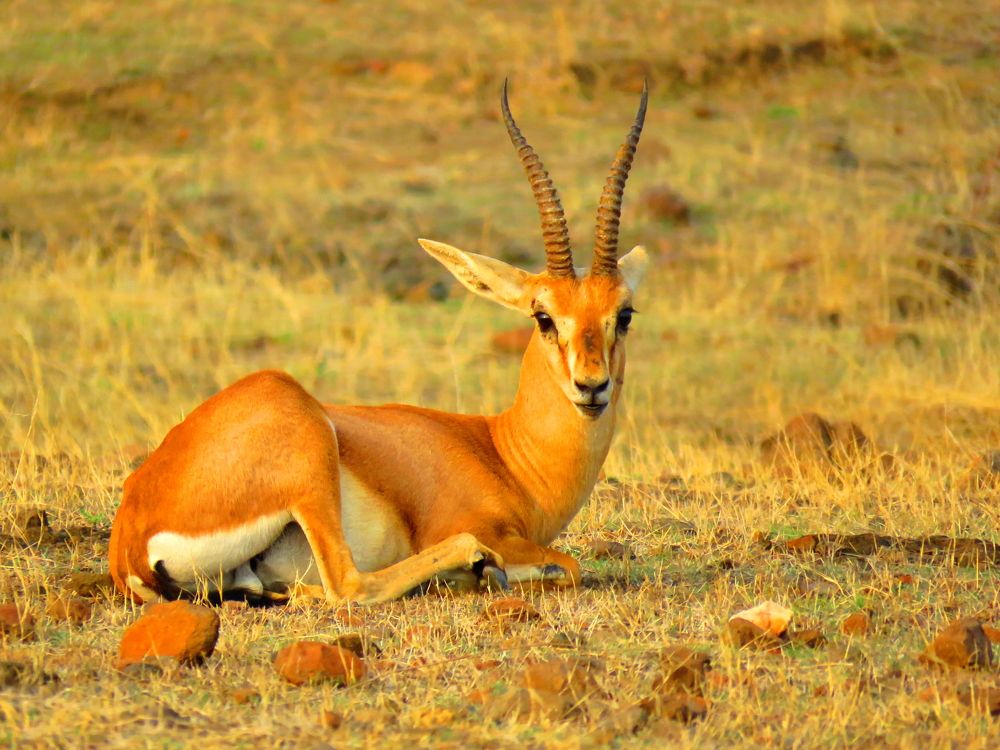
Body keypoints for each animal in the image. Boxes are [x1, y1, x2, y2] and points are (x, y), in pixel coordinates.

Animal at [108, 81, 650, 605]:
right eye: (543, 317)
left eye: (623, 315)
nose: (591, 386)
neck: (503, 453)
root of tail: (130, 537)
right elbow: (568, 565)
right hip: (308, 459)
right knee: (349, 585)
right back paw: (471, 566)